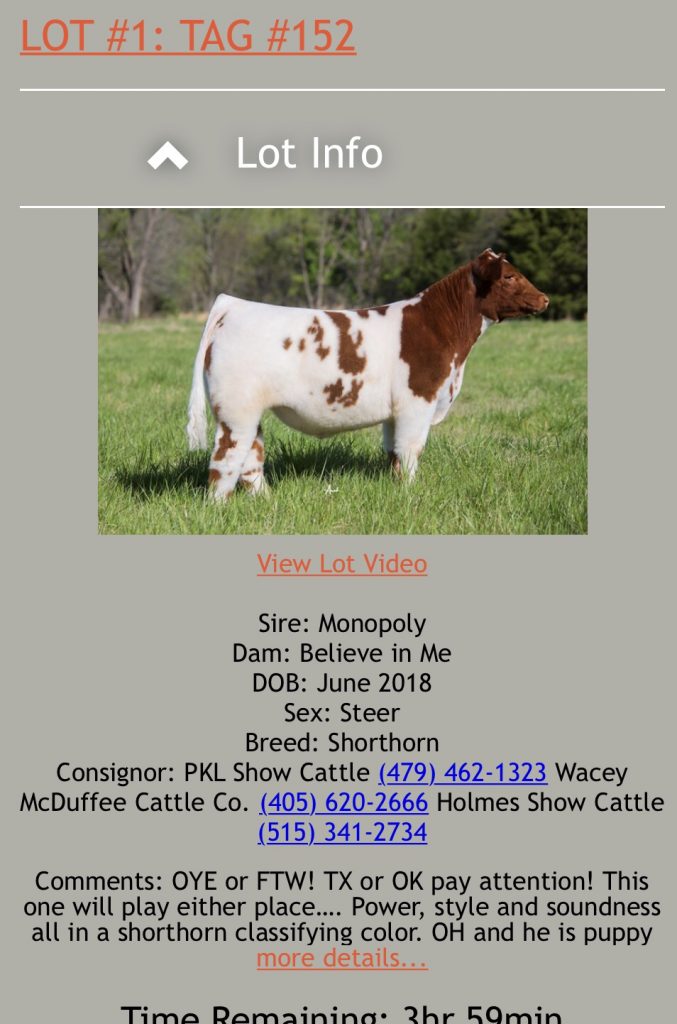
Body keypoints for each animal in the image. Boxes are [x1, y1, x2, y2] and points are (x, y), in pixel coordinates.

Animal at [187, 249, 548, 500]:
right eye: (509, 277)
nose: (545, 298)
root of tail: (233, 304)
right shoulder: (418, 401)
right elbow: (411, 449)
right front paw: (412, 492)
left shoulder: (396, 412)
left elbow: (393, 451)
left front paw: (398, 487)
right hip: (236, 410)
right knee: (225, 458)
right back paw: (219, 507)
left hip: (248, 412)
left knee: (251, 458)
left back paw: (267, 500)